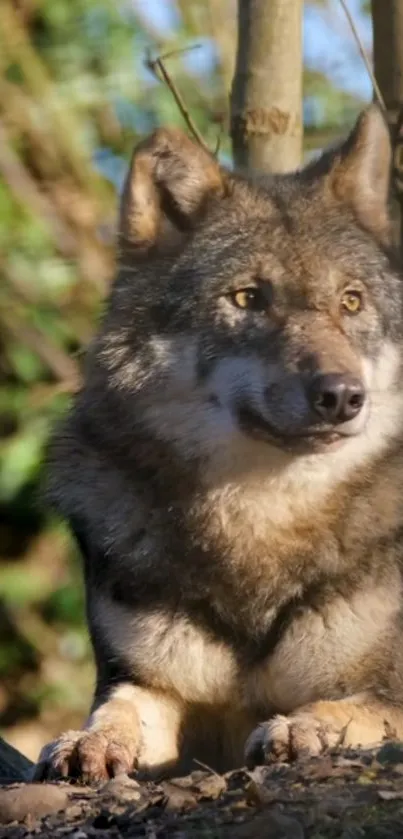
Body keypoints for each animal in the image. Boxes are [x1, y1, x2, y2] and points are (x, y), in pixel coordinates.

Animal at [34, 103, 403, 780]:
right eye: (247, 298)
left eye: (351, 301)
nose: (343, 396)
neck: (259, 522)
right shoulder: (150, 685)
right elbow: (117, 711)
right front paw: (86, 742)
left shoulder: (385, 688)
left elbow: (346, 708)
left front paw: (301, 729)